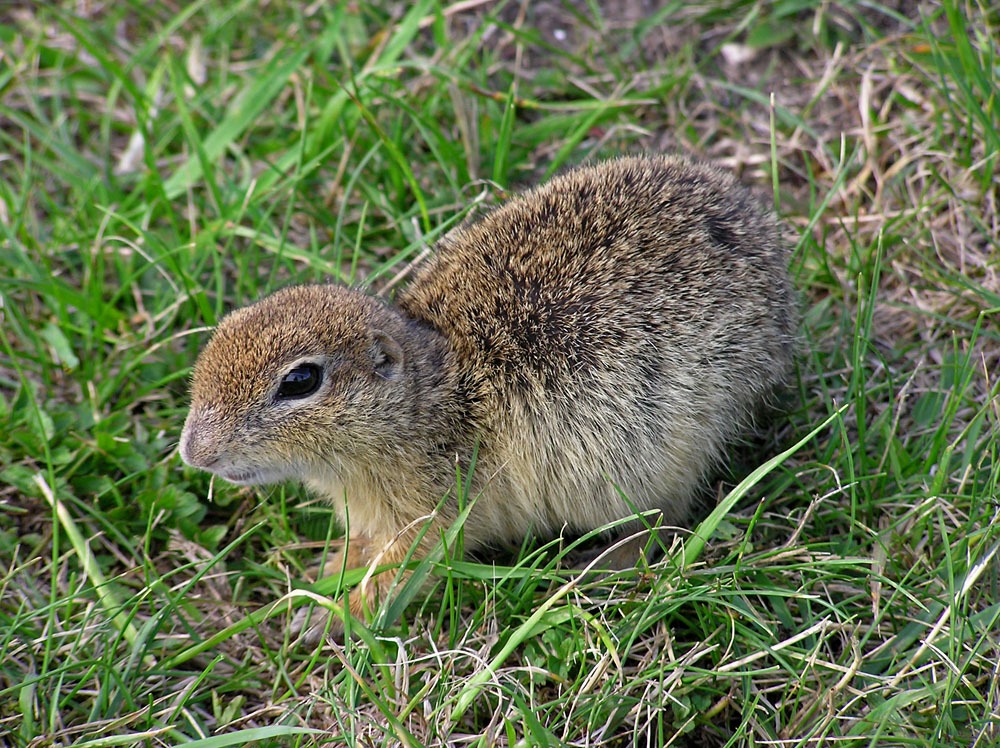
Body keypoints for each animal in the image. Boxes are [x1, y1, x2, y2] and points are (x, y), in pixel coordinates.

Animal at [180, 155, 796, 636]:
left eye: (300, 381)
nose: (193, 453)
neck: (434, 401)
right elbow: (364, 548)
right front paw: (325, 576)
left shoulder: (436, 513)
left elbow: (404, 570)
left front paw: (332, 616)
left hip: (665, 450)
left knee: (663, 521)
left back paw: (598, 567)